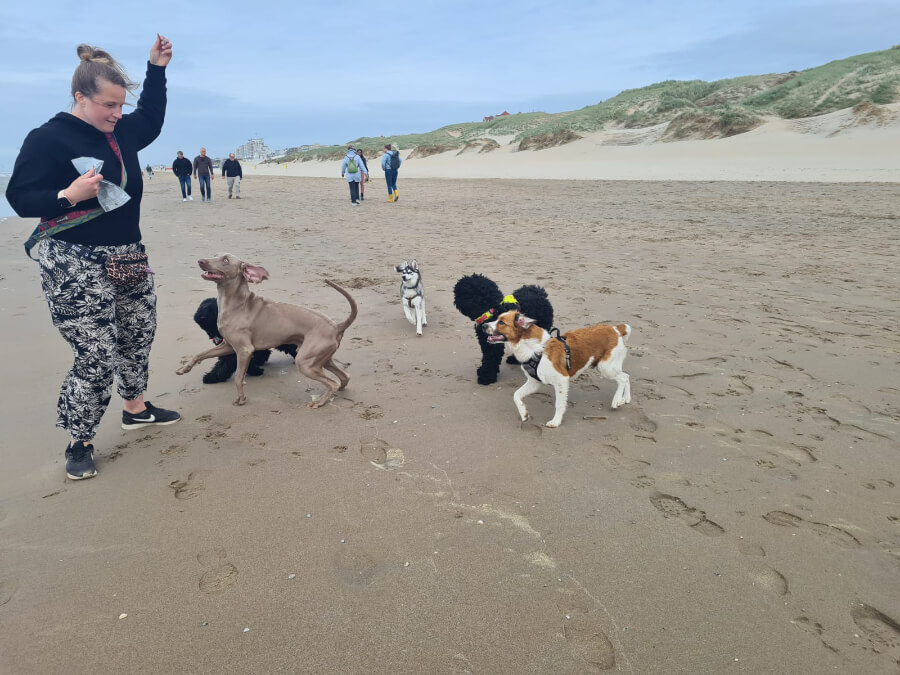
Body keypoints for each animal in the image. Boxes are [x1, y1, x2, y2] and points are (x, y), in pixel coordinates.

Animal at [174, 254, 356, 410]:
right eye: (215, 254)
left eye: (225, 259)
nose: (201, 261)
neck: (236, 304)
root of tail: (336, 326)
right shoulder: (228, 346)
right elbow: (201, 354)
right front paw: (184, 369)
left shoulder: (244, 350)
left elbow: (238, 378)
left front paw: (241, 399)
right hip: (320, 359)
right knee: (344, 377)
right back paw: (338, 390)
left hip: (305, 362)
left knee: (332, 382)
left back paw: (319, 402)